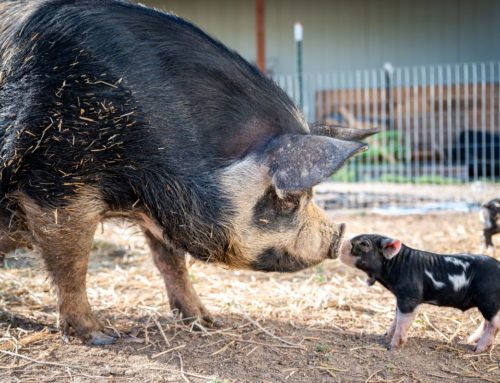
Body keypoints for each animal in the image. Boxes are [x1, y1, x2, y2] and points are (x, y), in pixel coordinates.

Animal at [0, 0, 376, 346]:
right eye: (288, 198)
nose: (338, 236)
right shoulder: (55, 179)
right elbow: (72, 263)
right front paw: (102, 336)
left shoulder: (163, 204)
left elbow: (171, 261)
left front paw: (206, 320)